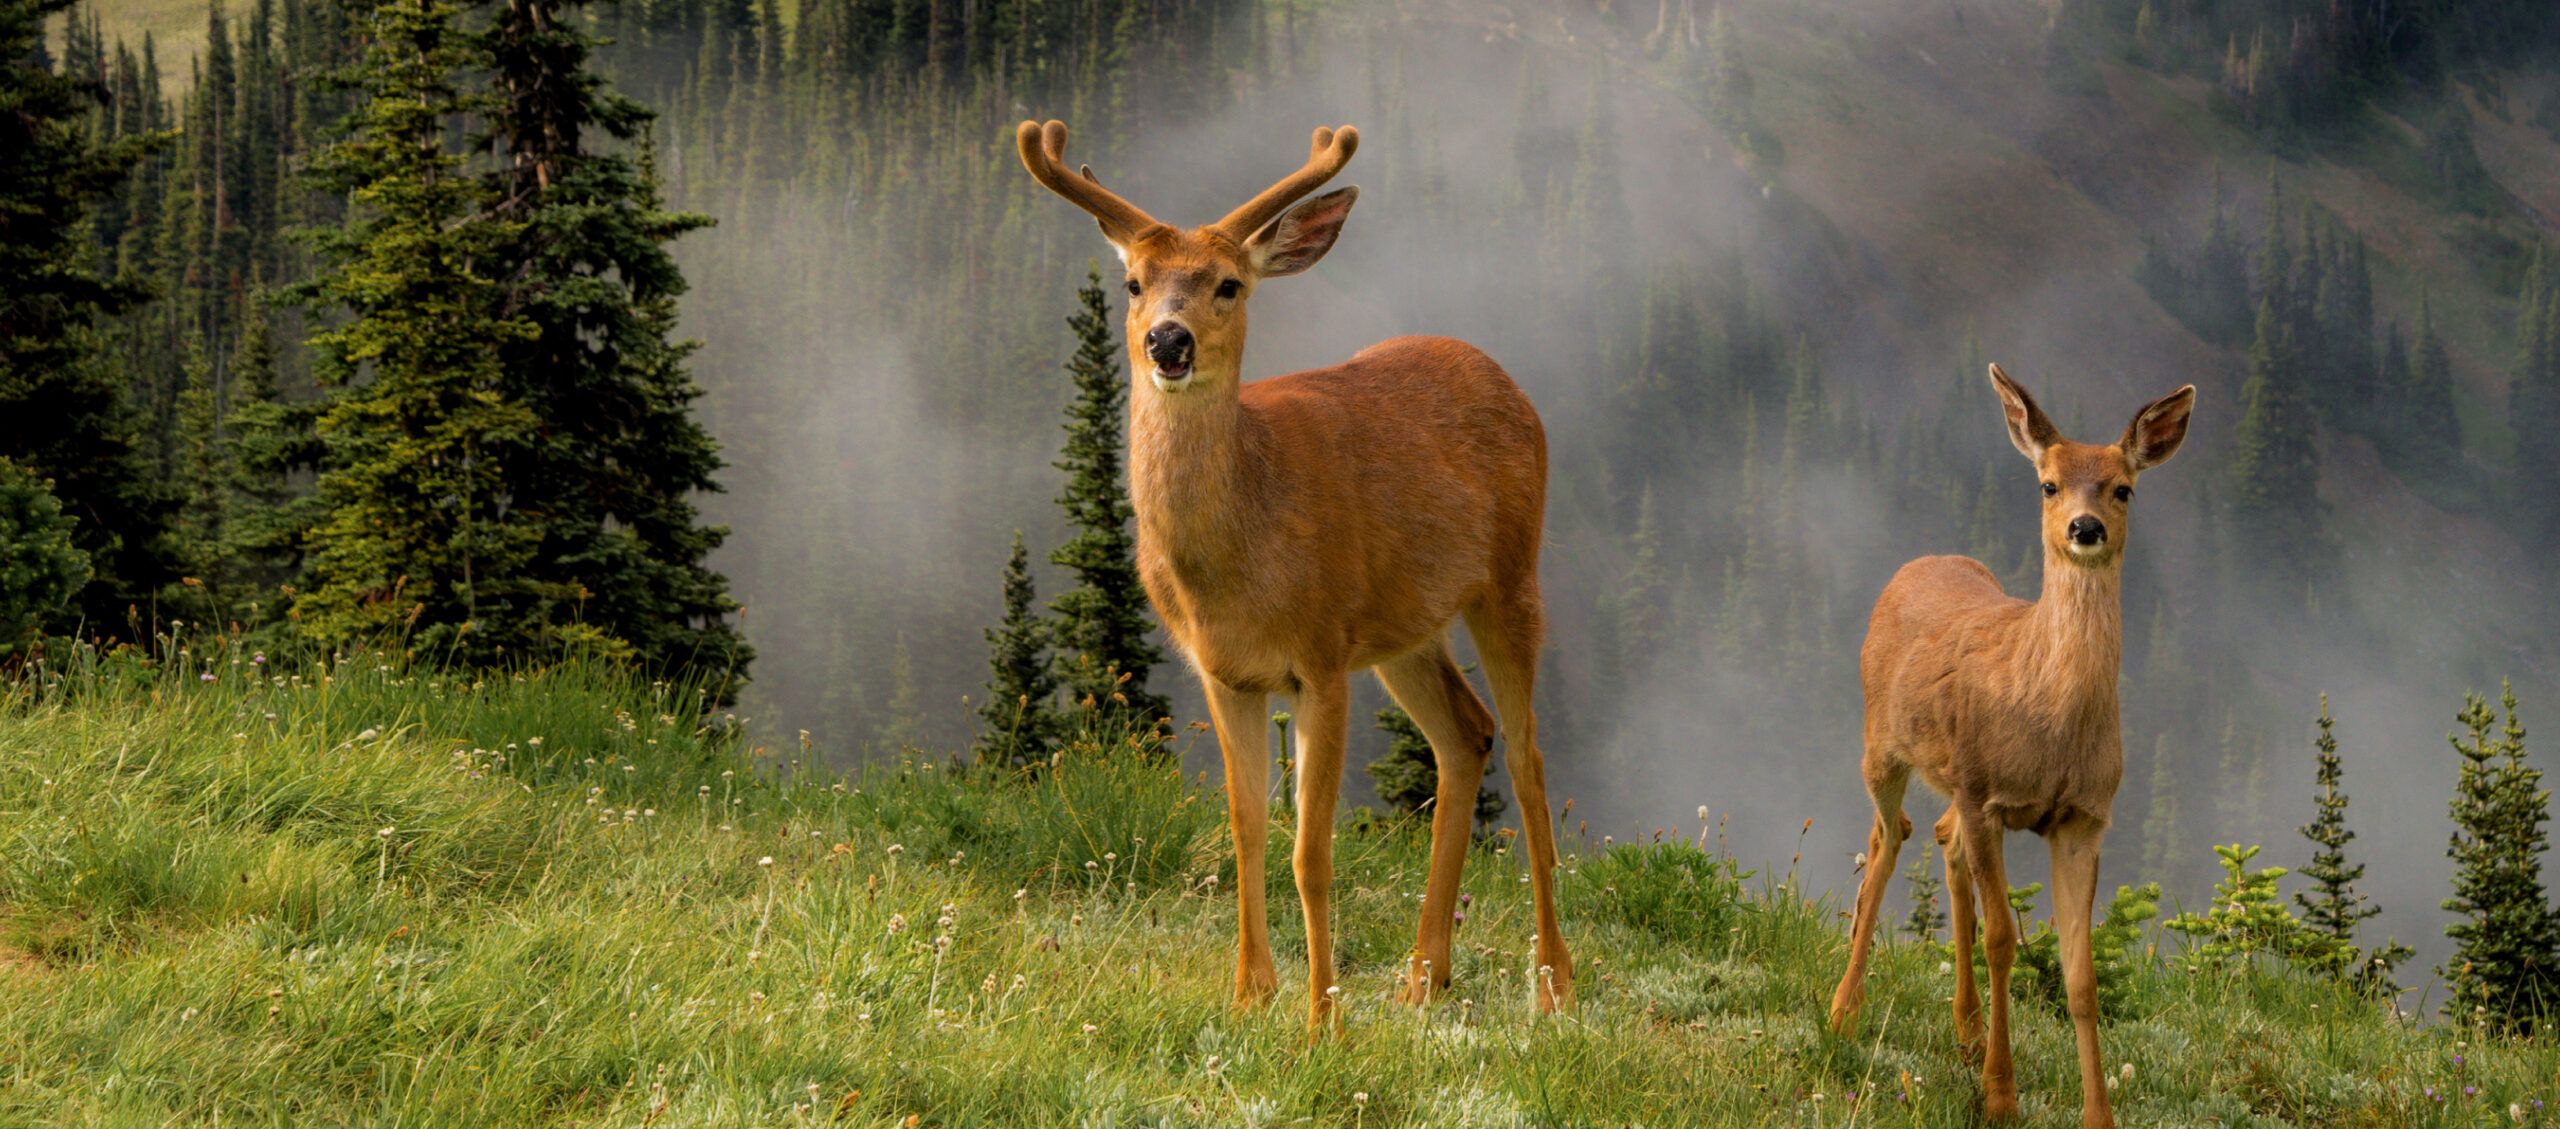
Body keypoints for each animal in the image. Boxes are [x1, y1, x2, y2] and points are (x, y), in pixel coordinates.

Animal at [1014, 120, 1572, 1031]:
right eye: (1133, 283)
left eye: (1229, 285)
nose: (1168, 341)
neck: (1236, 564)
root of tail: (1505, 379)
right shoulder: (1225, 672)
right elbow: (1246, 825)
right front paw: (1250, 993)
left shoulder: (1320, 655)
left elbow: (1312, 849)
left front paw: (1323, 1016)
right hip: (1403, 629)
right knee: (1467, 732)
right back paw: (1424, 975)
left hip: (1510, 577)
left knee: (1528, 759)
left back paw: (1555, 981)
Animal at [1826, 364, 2194, 1129]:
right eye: (2048, 484)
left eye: (2124, 487)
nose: (2085, 527)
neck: (2049, 721)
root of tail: (1919, 561)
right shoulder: (1984, 792)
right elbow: (2001, 940)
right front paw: (2000, 1095)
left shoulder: (2083, 818)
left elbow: (2080, 975)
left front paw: (2097, 1114)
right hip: (1883, 744)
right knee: (1888, 838)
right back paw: (1844, 1009)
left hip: (1947, 777)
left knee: (1937, 837)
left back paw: (1964, 1029)